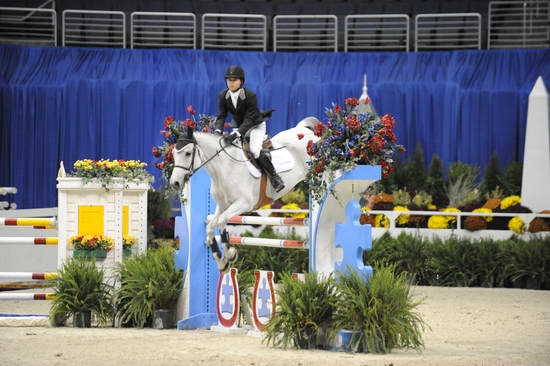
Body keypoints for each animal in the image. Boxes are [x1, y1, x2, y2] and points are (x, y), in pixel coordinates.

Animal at [170, 117, 322, 272]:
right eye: (174, 154)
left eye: (188, 153)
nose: (175, 183)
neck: (224, 168)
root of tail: (308, 133)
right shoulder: (223, 205)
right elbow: (211, 226)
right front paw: (221, 261)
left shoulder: (244, 204)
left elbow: (221, 221)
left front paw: (229, 254)